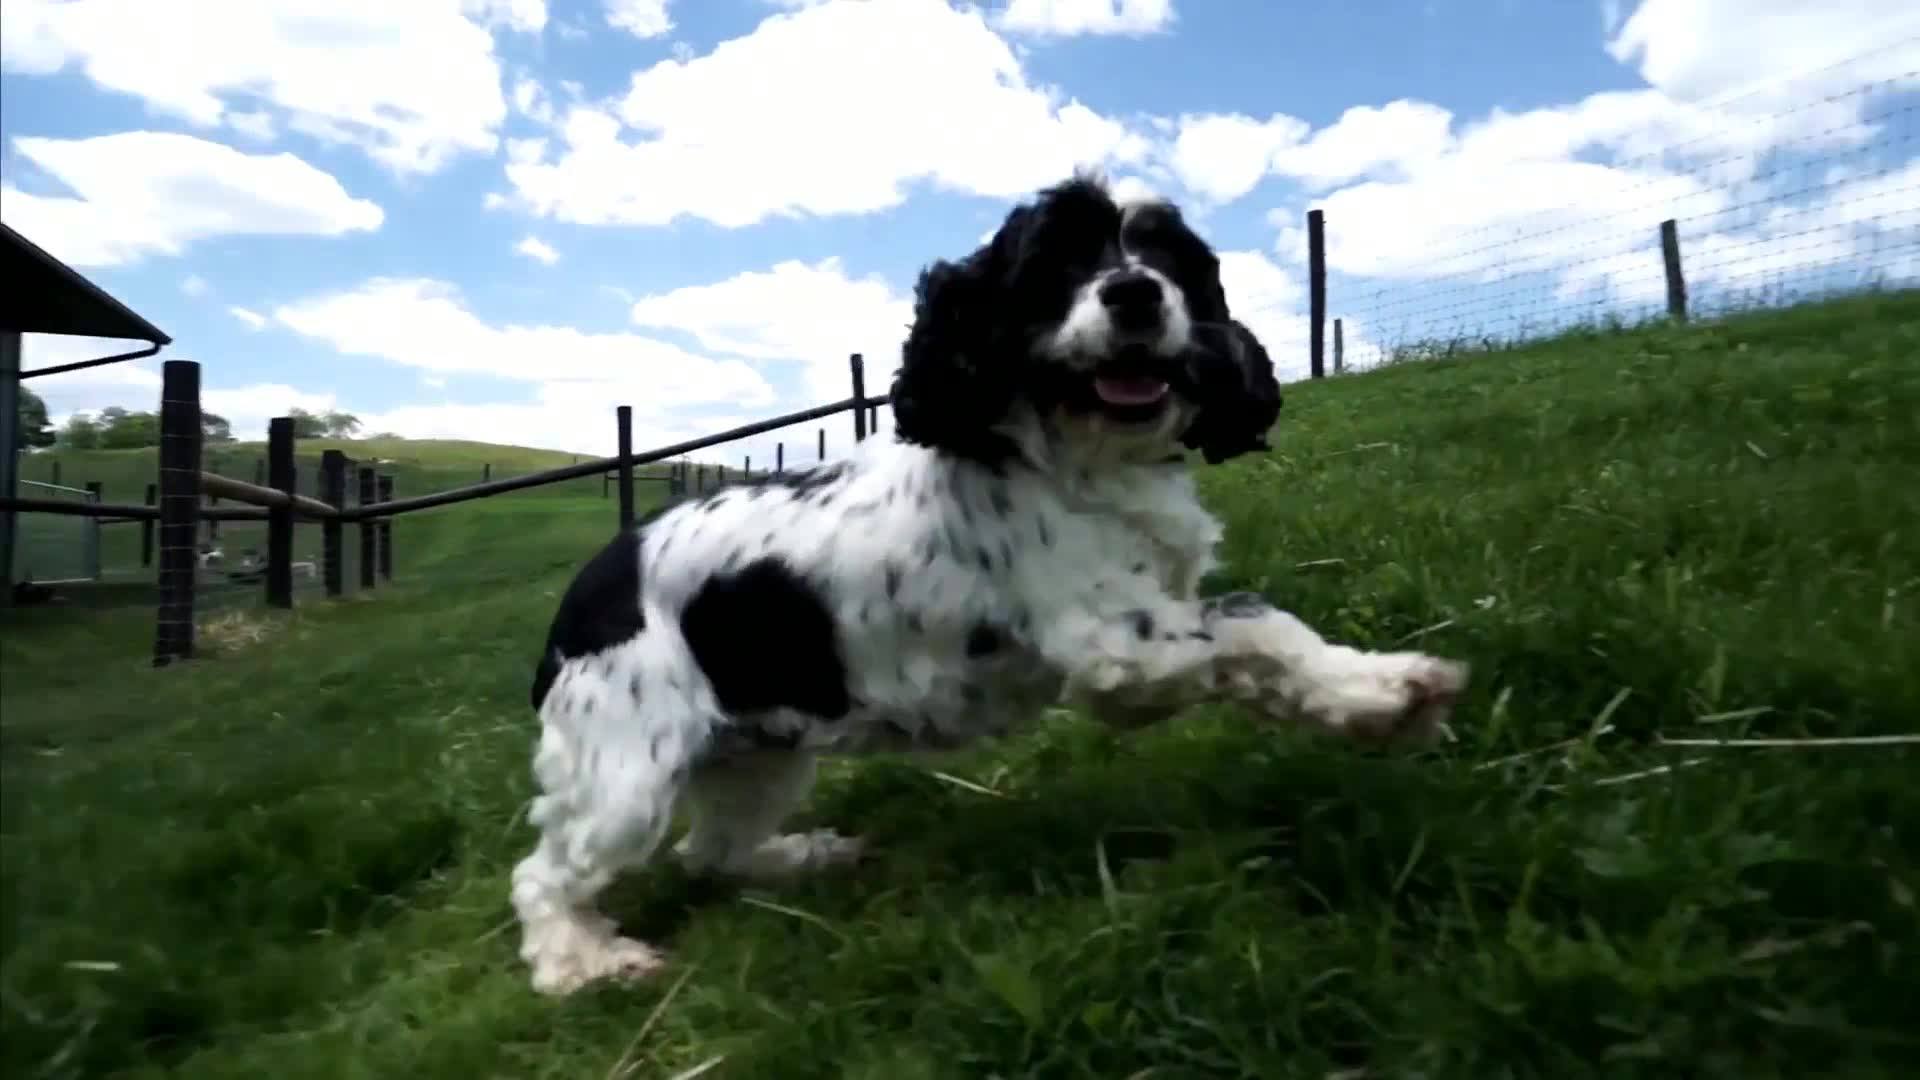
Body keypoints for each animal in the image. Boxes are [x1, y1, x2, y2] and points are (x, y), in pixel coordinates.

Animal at [510, 174, 1466, 991]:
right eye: (1054, 263)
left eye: (1169, 257)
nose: (1135, 293)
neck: (1080, 456)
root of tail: (580, 599)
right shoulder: (1114, 646)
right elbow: (1254, 624)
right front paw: (1393, 689)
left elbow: (1260, 643)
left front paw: (1363, 703)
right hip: (626, 777)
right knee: (545, 875)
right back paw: (584, 964)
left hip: (760, 752)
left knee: (712, 852)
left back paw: (801, 857)